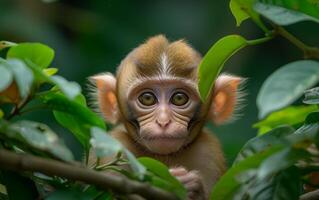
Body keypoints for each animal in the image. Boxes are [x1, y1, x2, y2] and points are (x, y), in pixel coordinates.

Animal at [90, 35, 245, 199]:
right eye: (147, 98)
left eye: (179, 98)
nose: (163, 121)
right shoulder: (112, 148)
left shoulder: (209, 153)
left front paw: (191, 186)